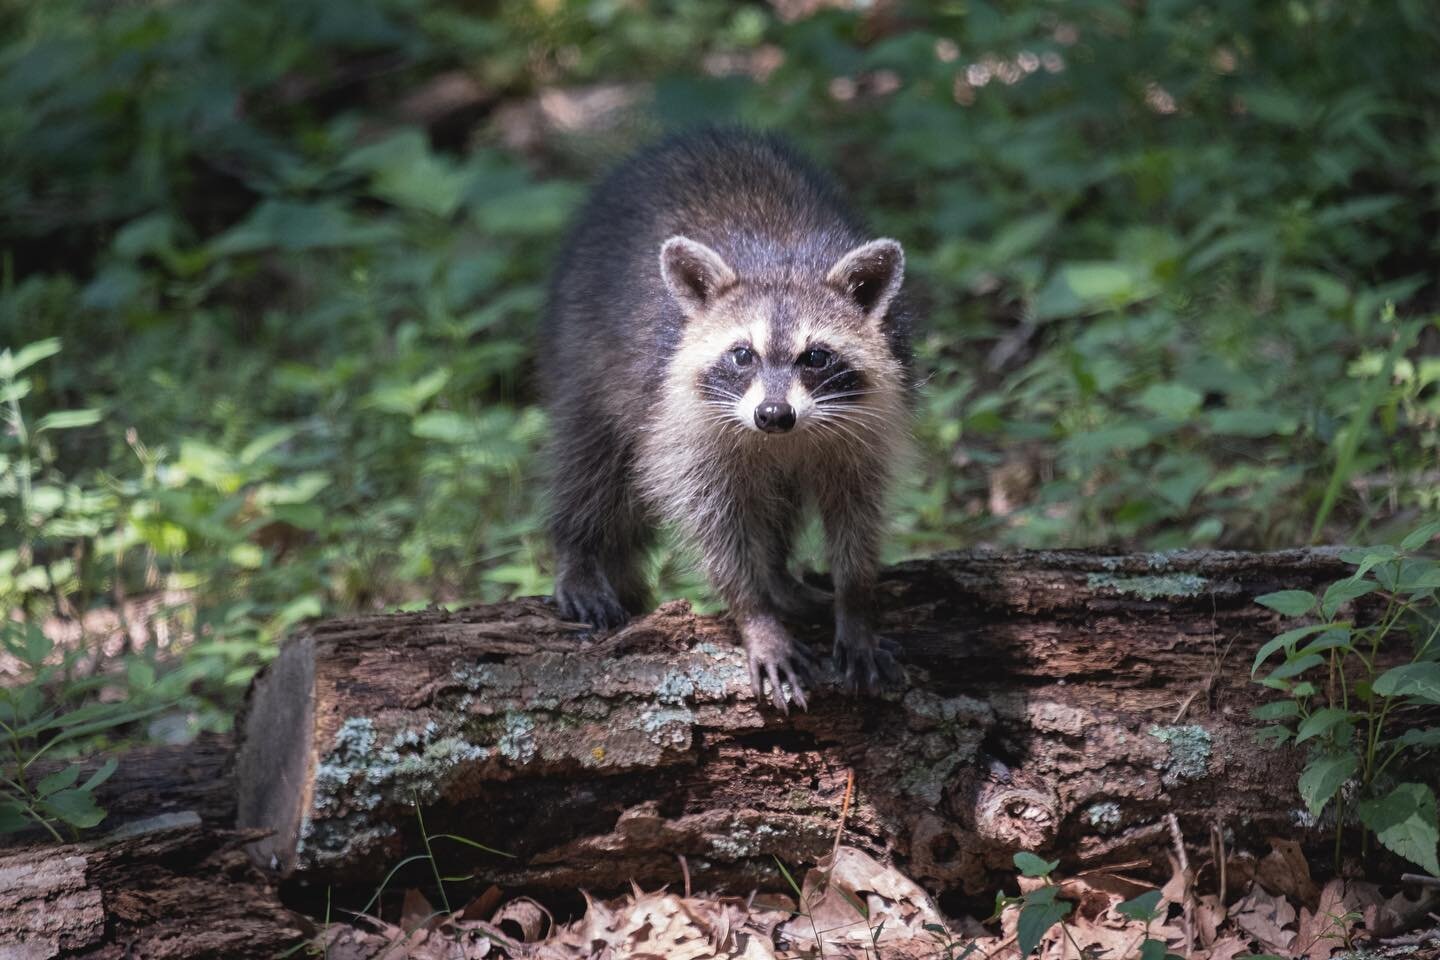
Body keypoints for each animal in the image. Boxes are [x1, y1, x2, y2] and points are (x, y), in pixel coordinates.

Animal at [541, 127, 910, 711]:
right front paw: (754, 613)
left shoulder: (869, 421)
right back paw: (580, 550)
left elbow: (857, 507)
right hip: (582, 339)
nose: (773, 414)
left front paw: (855, 600)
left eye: (816, 357)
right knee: (590, 457)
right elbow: (713, 522)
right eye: (742, 355)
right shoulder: (682, 426)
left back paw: (781, 577)